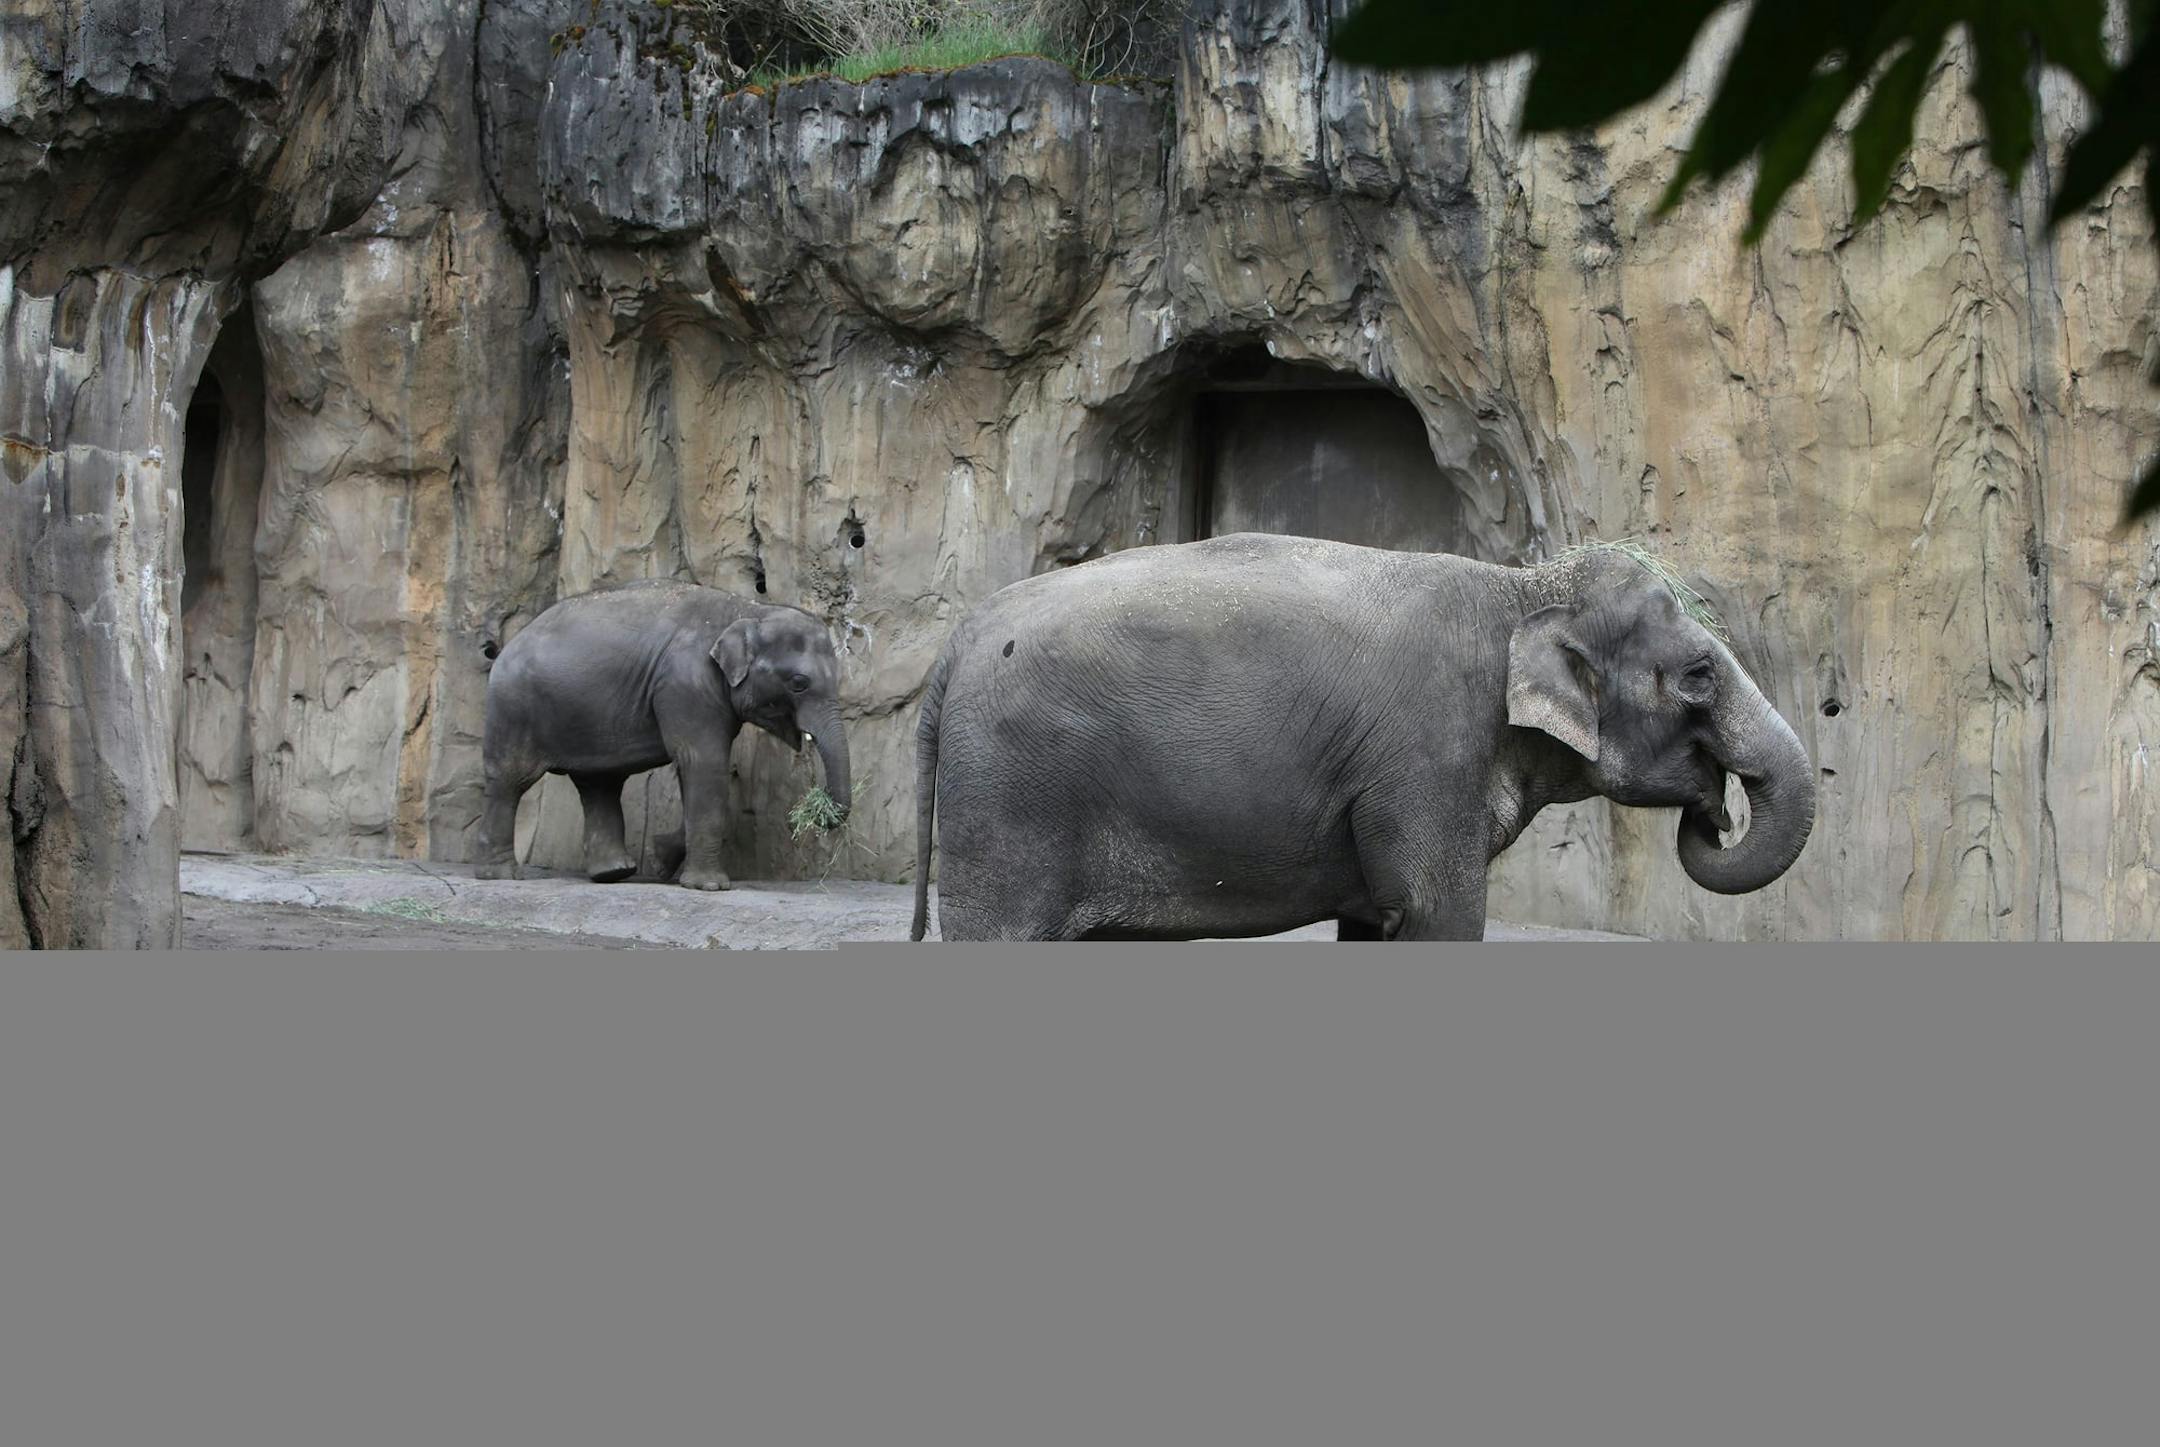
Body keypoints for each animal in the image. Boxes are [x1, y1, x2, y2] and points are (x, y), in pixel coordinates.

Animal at [475, 580, 850, 891]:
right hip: (513, 709)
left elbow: (696, 769)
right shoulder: (686, 683)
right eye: (798, 683)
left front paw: (660, 859)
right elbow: (703, 762)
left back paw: (614, 873)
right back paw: (501, 875)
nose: (820, 810)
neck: (748, 609)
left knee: (599, 785)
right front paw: (708, 887)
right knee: (511, 780)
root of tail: (507, 646)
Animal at [908, 534, 1813, 941]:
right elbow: (1440, 915)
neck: (1521, 586)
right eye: (1699, 675)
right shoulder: (1427, 756)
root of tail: (956, 641)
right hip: (1011, 798)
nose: (1713, 811)